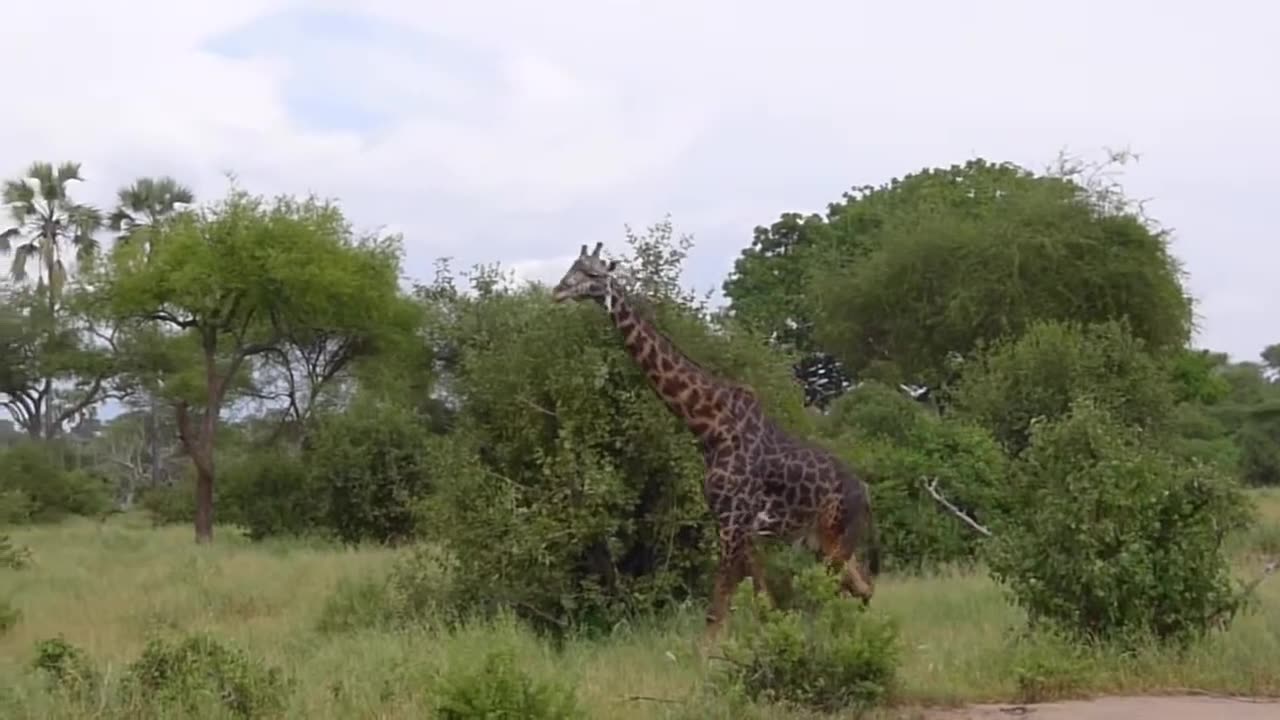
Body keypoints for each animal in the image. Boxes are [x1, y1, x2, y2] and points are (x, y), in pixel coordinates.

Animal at [550, 242, 880, 645]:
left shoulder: (732, 522)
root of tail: (866, 493)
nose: (559, 291)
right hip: (821, 540)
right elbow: (761, 601)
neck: (708, 426)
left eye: (593, 274)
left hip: (836, 538)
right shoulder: (736, 525)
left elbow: (718, 610)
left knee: (845, 590)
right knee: (861, 588)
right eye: (572, 267)